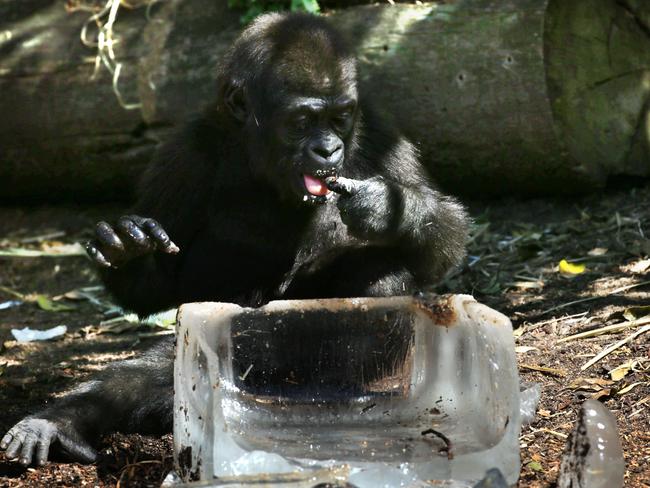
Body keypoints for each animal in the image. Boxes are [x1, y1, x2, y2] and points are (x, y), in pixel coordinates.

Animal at [0, 13, 466, 468]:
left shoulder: (378, 133)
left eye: (340, 118)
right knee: (144, 377)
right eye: (302, 122)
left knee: (379, 275)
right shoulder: (184, 155)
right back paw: (58, 422)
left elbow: (442, 244)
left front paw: (387, 207)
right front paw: (127, 253)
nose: (329, 150)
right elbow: (155, 287)